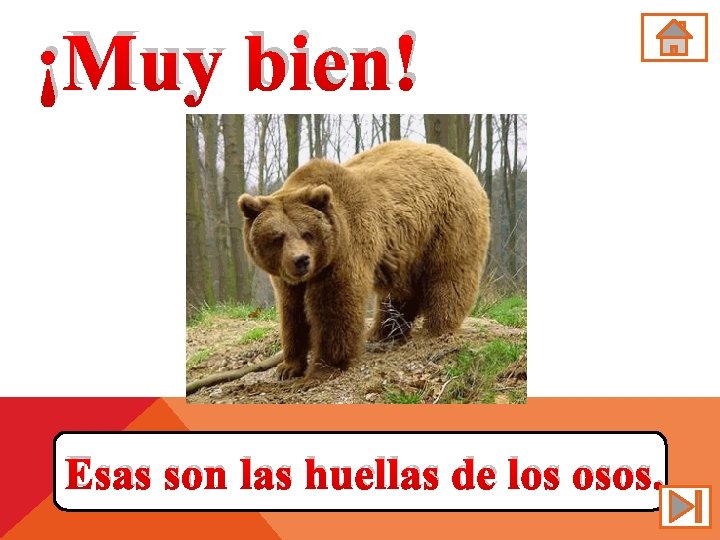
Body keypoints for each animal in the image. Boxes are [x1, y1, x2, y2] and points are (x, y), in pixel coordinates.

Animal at [238, 140, 490, 380]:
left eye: (307, 233)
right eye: (277, 237)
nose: (301, 260)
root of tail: (459, 162)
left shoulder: (344, 250)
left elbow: (336, 306)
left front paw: (323, 368)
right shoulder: (287, 278)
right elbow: (292, 311)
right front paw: (288, 367)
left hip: (447, 223)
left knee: (448, 275)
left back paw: (438, 327)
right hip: (405, 247)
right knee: (399, 292)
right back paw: (384, 332)